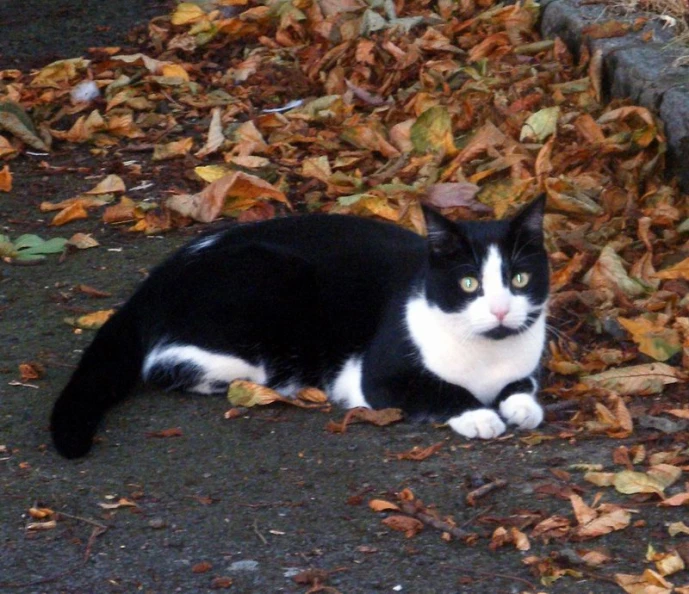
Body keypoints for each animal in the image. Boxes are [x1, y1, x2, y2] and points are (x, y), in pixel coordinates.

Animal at [49, 197, 548, 456]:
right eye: (468, 283)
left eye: (519, 279)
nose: (501, 311)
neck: (486, 356)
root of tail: (153, 280)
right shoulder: (379, 377)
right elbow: (439, 391)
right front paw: (480, 414)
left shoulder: (523, 365)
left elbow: (523, 385)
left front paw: (520, 405)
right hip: (274, 281)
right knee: (167, 365)